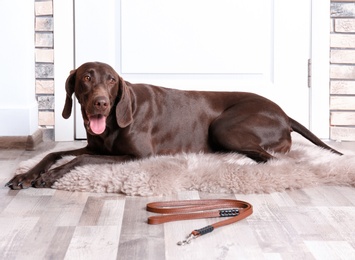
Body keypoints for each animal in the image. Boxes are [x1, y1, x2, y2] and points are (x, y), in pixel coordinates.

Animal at [5, 62, 344, 190]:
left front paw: (49, 177)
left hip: (223, 126)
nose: (100, 103)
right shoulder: (95, 146)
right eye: (86, 77)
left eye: (112, 80)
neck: (112, 123)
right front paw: (25, 174)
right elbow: (55, 153)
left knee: (270, 159)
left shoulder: (137, 156)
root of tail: (285, 114)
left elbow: (79, 159)